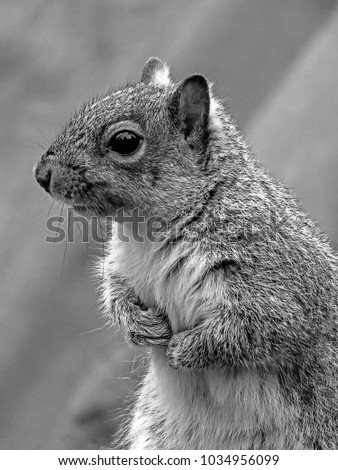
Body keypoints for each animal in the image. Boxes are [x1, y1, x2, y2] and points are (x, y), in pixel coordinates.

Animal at [33, 57, 338, 450]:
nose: (41, 174)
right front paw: (140, 326)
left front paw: (187, 349)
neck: (149, 236)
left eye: (125, 142)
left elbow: (259, 329)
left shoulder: (278, 282)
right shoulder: (120, 267)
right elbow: (115, 295)